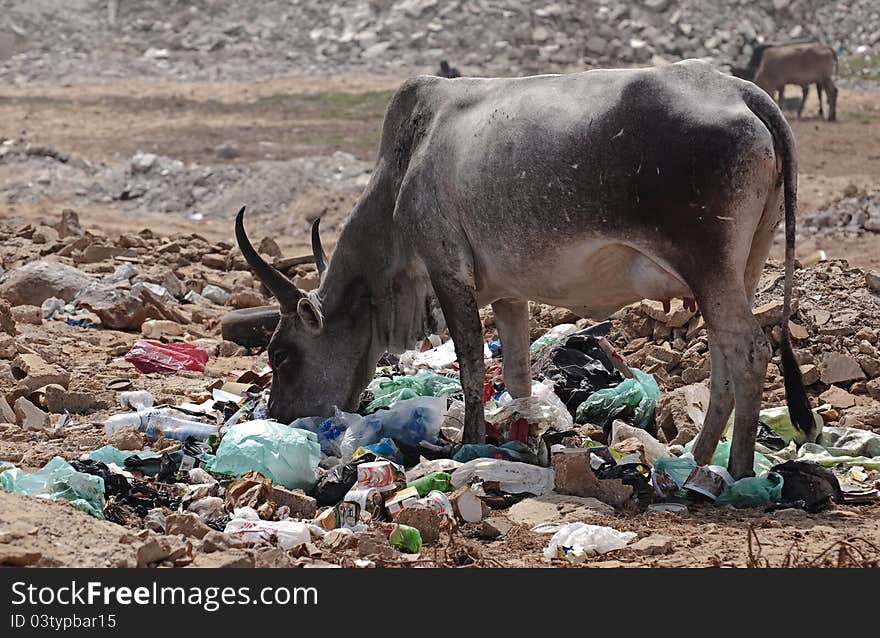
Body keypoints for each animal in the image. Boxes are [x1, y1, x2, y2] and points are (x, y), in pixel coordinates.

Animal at [237, 61, 816, 480]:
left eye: (282, 354)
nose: (281, 416)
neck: (405, 163)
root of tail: (740, 90)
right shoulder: (507, 294)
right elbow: (515, 377)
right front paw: (524, 440)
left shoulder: (448, 272)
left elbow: (472, 366)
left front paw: (470, 443)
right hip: (739, 269)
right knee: (724, 360)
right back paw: (697, 459)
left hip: (707, 264)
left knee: (749, 352)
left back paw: (736, 472)